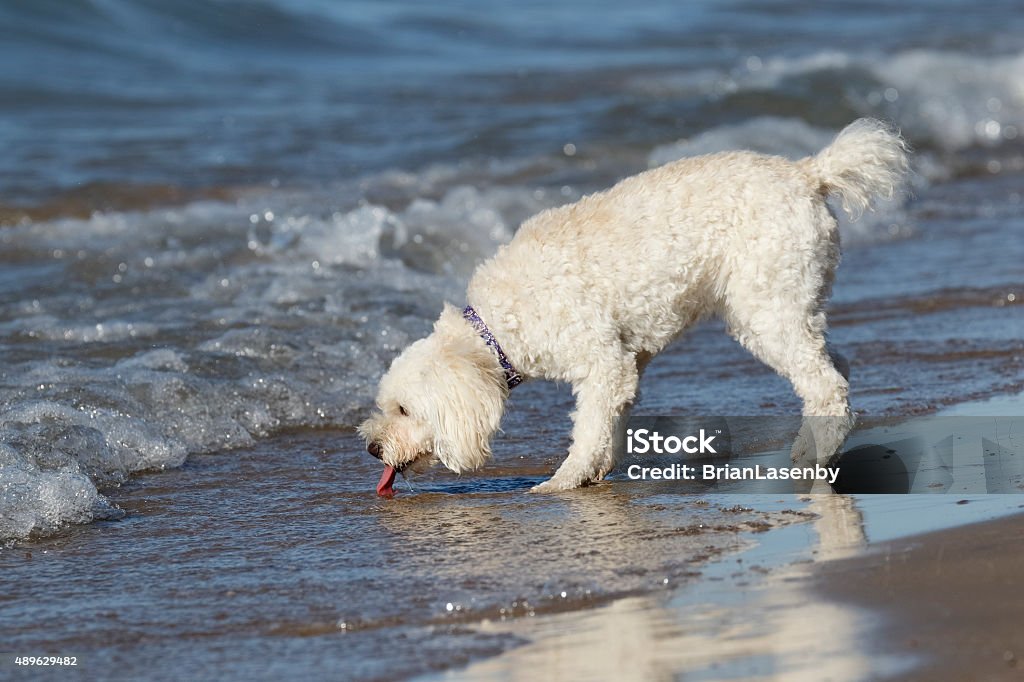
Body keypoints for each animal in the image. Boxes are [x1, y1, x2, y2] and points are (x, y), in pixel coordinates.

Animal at [358, 119, 905, 491]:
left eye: (404, 409)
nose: (371, 447)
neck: (499, 323)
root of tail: (808, 172)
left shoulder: (602, 362)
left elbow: (588, 428)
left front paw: (561, 482)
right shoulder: (626, 362)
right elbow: (610, 423)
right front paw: (596, 471)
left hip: (766, 307)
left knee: (827, 385)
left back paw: (815, 458)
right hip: (785, 306)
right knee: (834, 365)